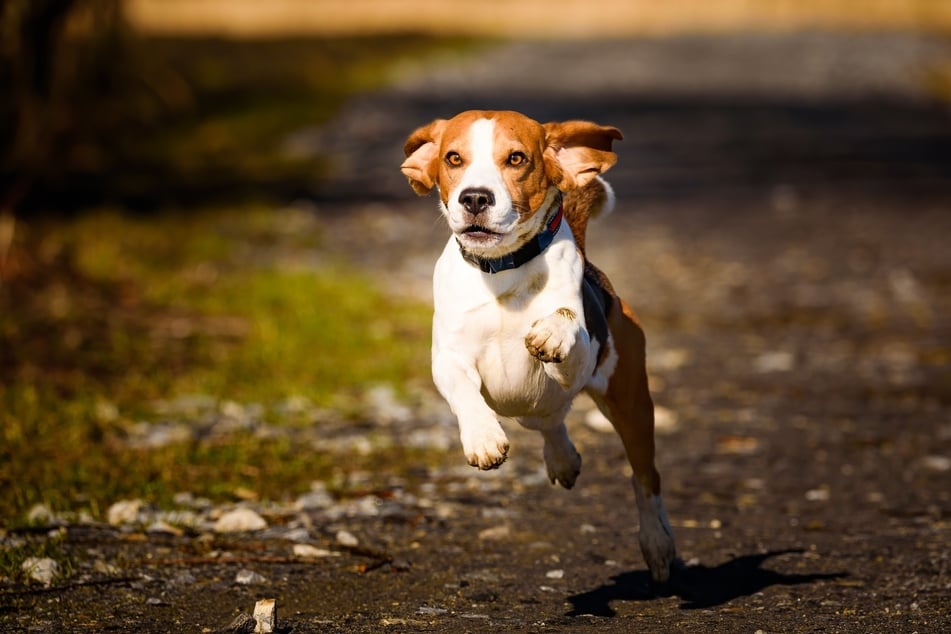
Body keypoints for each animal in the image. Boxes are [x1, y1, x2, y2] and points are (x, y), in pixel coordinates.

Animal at [402, 110, 676, 584]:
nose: (475, 198)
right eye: (453, 158)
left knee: (646, 481)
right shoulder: (448, 359)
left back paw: (658, 542)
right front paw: (483, 438)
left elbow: (564, 326)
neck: (501, 270)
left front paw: (551, 330)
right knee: (550, 422)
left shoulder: (579, 359)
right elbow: (464, 393)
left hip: (632, 405)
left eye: (516, 158)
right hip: (532, 409)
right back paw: (563, 459)